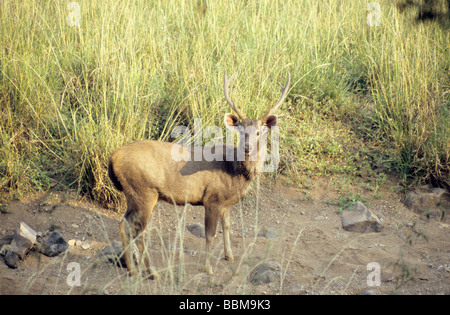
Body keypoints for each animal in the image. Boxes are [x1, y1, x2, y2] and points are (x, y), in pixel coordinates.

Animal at [110, 71, 292, 276]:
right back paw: (153, 272)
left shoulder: (227, 202)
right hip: (144, 191)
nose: (247, 147)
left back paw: (132, 269)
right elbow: (210, 234)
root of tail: (113, 157)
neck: (234, 171)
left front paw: (229, 256)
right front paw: (208, 267)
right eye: (241, 130)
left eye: (260, 131)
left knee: (124, 224)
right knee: (139, 231)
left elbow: (227, 226)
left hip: (133, 194)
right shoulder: (212, 197)